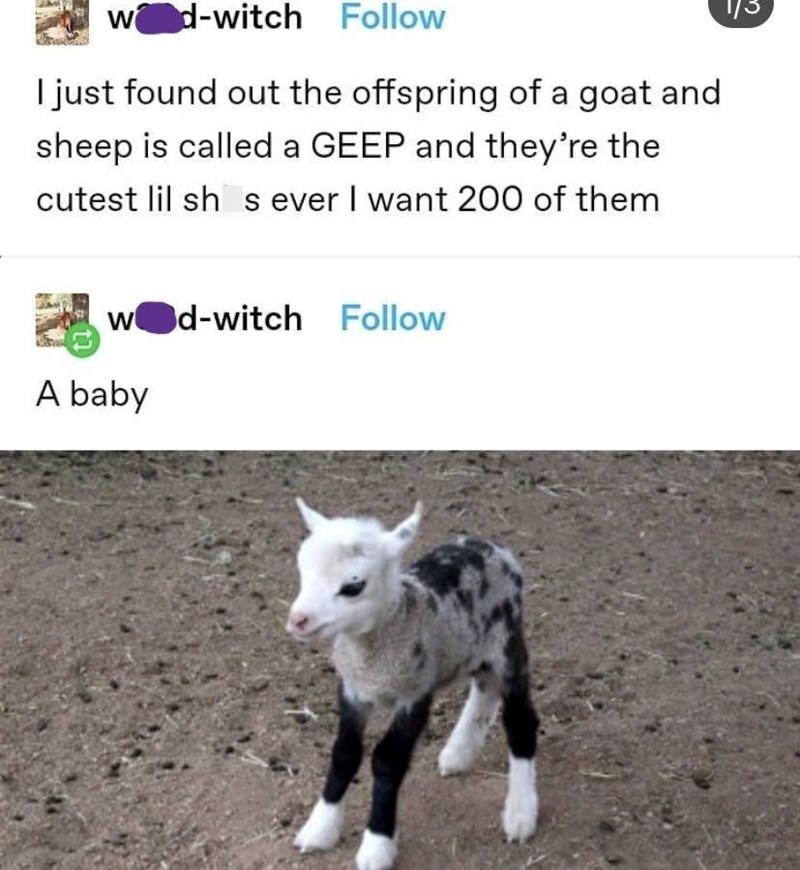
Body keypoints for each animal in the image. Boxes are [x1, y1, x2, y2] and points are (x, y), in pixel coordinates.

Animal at [286, 499, 540, 870]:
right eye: (302, 570)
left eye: (353, 586)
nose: (297, 621)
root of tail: (492, 547)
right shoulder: (352, 690)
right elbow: (344, 753)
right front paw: (320, 828)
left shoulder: (414, 692)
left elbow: (387, 761)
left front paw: (376, 845)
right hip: (473, 647)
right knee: (483, 689)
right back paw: (458, 753)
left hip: (507, 643)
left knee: (521, 721)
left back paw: (520, 813)